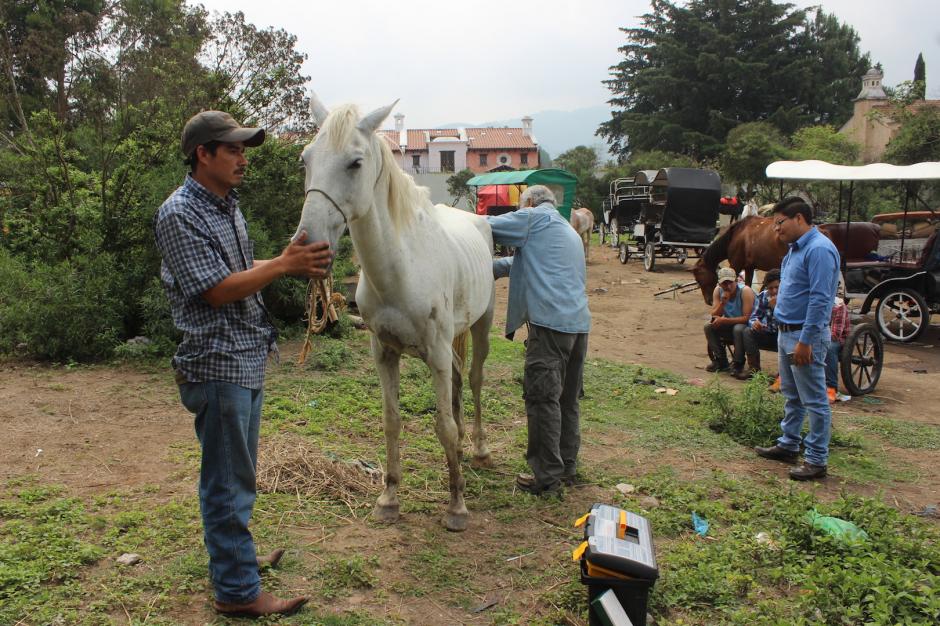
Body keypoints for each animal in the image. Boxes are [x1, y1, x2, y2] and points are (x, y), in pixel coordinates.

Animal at [294, 95, 495, 532]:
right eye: (306, 158)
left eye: (355, 163)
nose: (307, 244)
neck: (400, 271)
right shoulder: (384, 353)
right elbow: (392, 423)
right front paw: (388, 499)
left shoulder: (435, 354)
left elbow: (444, 427)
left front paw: (456, 507)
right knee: (458, 383)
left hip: (481, 325)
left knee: (474, 381)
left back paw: (479, 450)